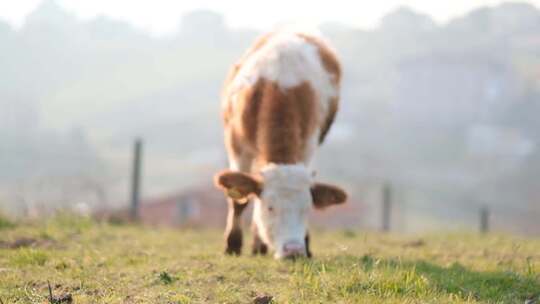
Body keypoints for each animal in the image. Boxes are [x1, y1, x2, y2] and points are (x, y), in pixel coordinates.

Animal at [214, 30, 346, 258]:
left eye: (307, 208)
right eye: (270, 207)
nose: (293, 250)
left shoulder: (308, 144)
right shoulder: (236, 144)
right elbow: (239, 199)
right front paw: (232, 245)